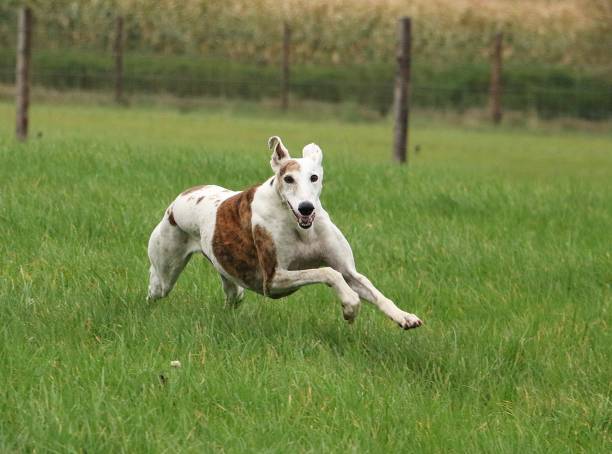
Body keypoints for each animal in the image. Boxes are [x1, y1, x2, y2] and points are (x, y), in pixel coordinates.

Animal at [148, 135, 424, 330]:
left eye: (314, 177)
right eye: (289, 179)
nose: (306, 207)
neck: (300, 228)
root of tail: (183, 195)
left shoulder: (349, 270)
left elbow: (370, 289)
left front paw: (405, 317)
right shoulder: (273, 279)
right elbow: (327, 272)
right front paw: (350, 305)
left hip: (230, 278)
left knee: (233, 295)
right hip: (165, 270)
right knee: (155, 284)